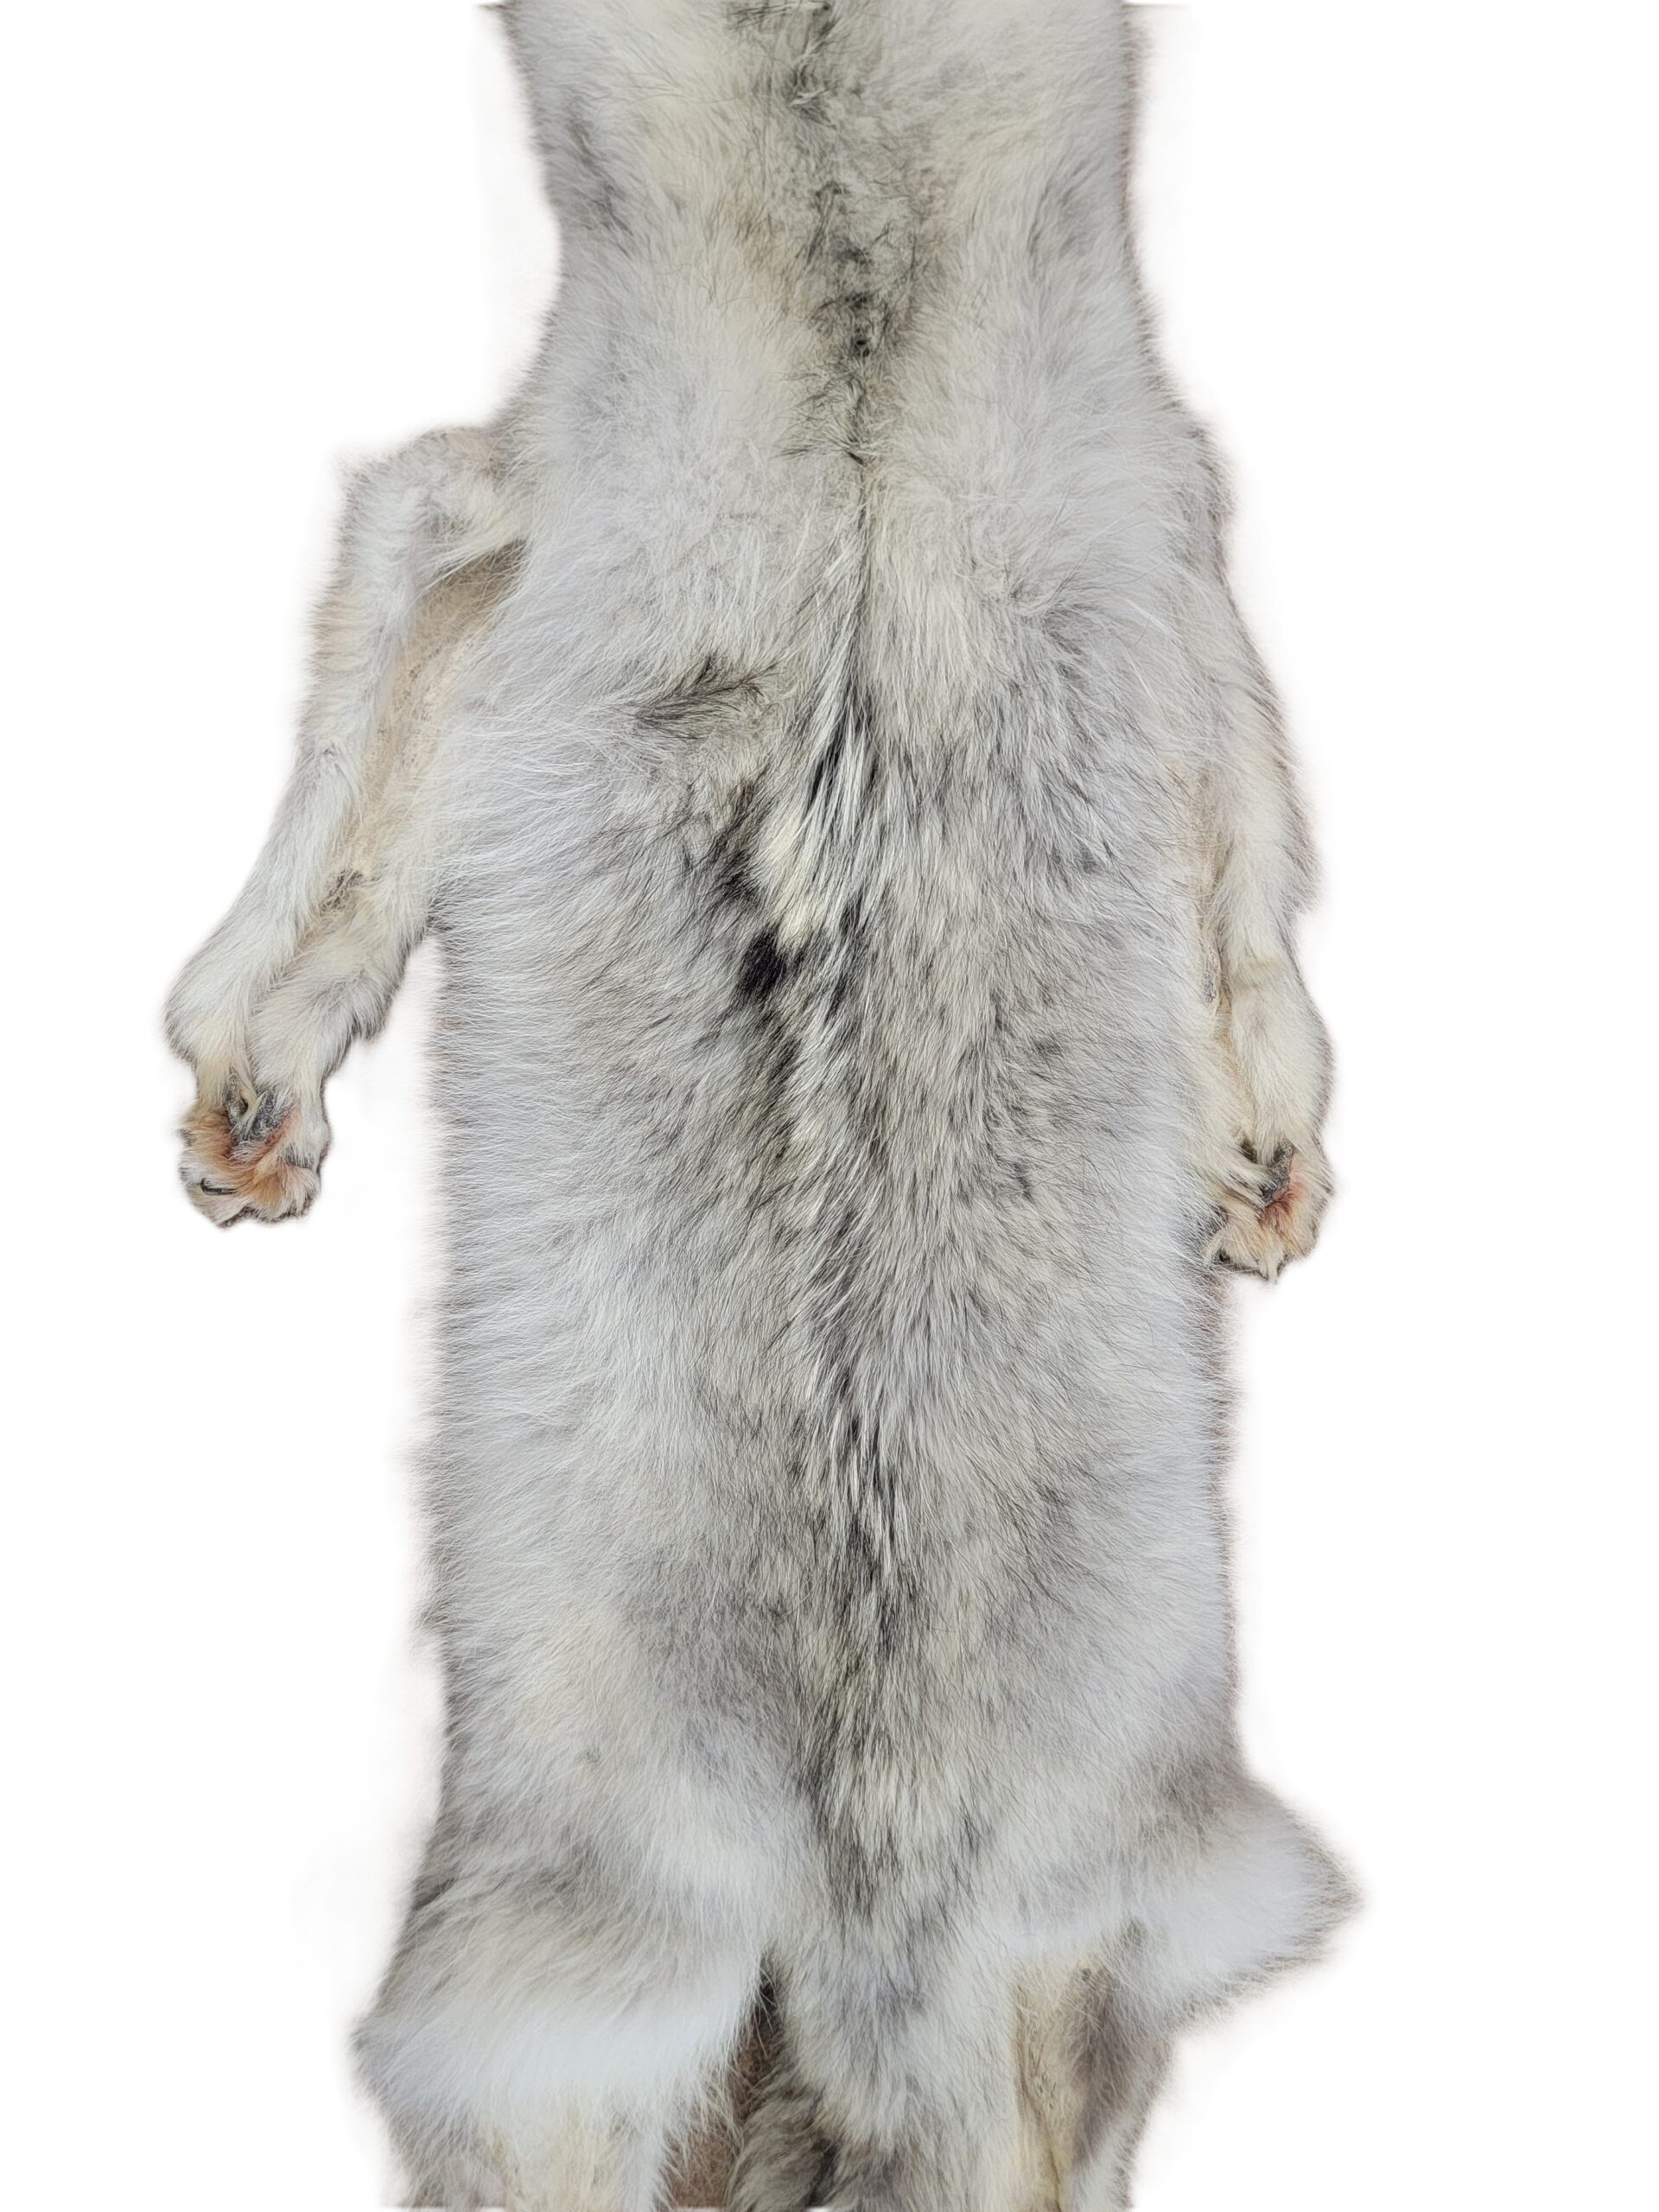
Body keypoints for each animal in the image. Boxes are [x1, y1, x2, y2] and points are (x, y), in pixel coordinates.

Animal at [165, 2, 1349, 2205]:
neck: (852, 354)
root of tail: (854, 1920)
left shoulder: (1134, 529)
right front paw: (249, 1097)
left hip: (726, 2005)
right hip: (827, 2003)